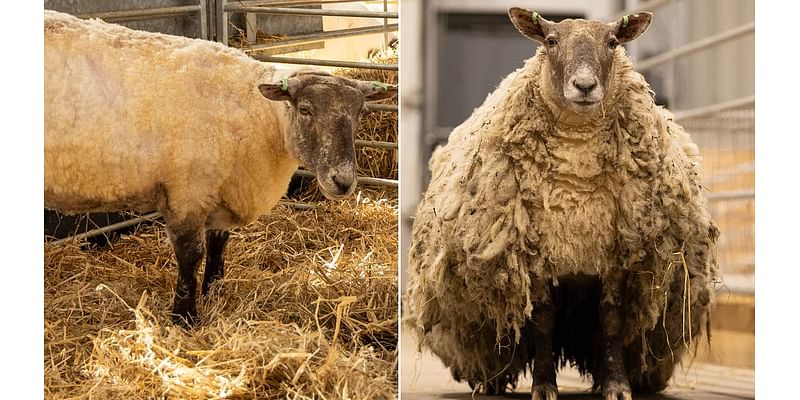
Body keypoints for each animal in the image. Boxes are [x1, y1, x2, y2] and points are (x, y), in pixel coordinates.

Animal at [44, 10, 396, 326]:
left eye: (360, 113)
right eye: (306, 109)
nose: (343, 181)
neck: (259, 115)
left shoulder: (221, 188)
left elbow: (218, 247)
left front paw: (215, 292)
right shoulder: (188, 191)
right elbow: (191, 256)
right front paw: (185, 317)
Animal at [406, 7, 720, 398]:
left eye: (612, 42)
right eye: (551, 41)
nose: (584, 86)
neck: (577, 181)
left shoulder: (615, 255)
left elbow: (612, 318)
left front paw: (616, 385)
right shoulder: (539, 255)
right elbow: (543, 319)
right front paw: (543, 385)